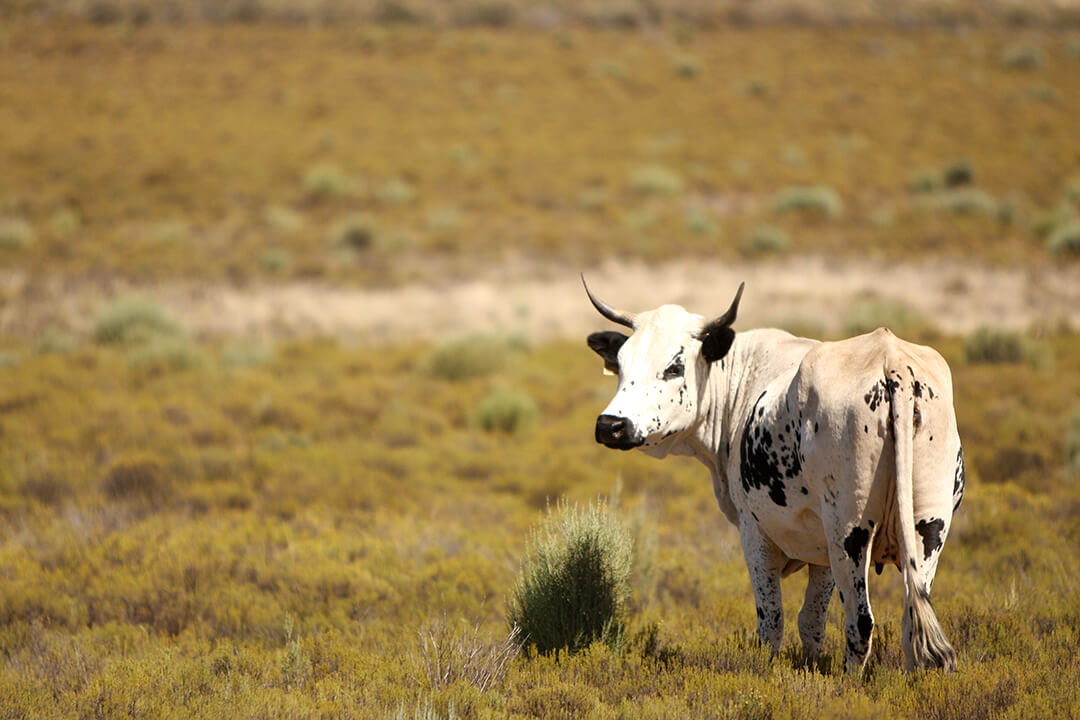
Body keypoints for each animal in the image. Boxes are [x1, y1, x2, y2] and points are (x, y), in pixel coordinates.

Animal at [587, 278, 967, 677]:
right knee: (912, 617)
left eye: (674, 367)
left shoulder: (755, 533)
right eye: (620, 363)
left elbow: (771, 619)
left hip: (850, 532)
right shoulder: (821, 551)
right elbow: (811, 620)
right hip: (928, 529)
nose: (611, 425)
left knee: (860, 622)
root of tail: (891, 363)